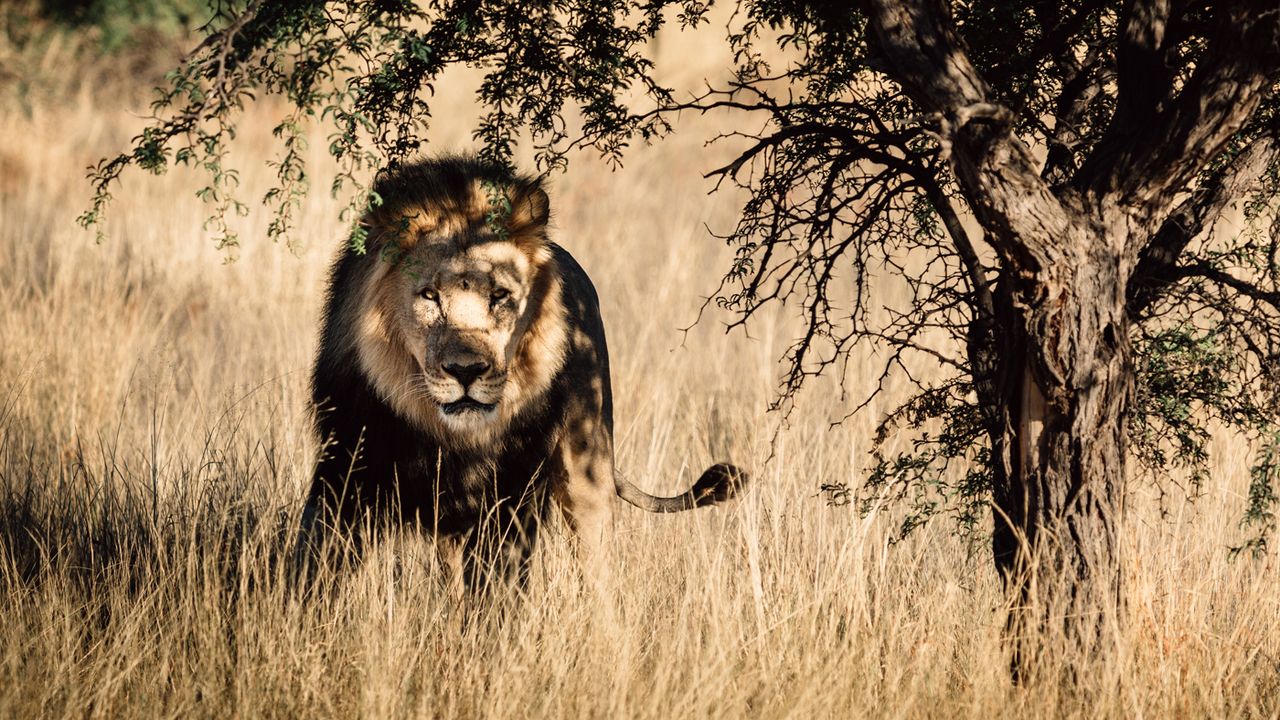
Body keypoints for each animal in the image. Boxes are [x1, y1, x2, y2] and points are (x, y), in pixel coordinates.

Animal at [300, 155, 746, 589]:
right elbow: (317, 562)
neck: (452, 438)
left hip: (588, 461)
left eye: (500, 295)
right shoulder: (347, 467)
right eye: (429, 295)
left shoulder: (511, 488)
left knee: (596, 563)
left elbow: (498, 579)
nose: (466, 371)